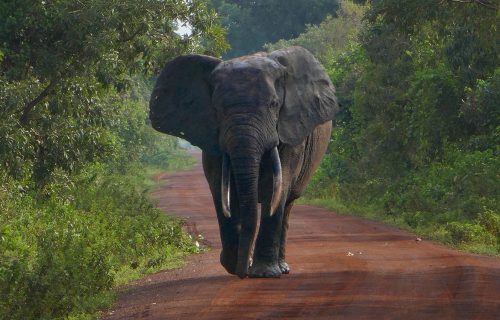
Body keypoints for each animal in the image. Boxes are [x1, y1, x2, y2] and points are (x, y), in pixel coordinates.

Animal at [147, 45, 336, 278]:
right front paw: (232, 265)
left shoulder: (291, 132)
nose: (243, 271)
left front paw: (264, 273)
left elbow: (277, 187)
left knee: (287, 203)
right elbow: (221, 189)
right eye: (217, 109)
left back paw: (281, 267)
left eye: (274, 104)